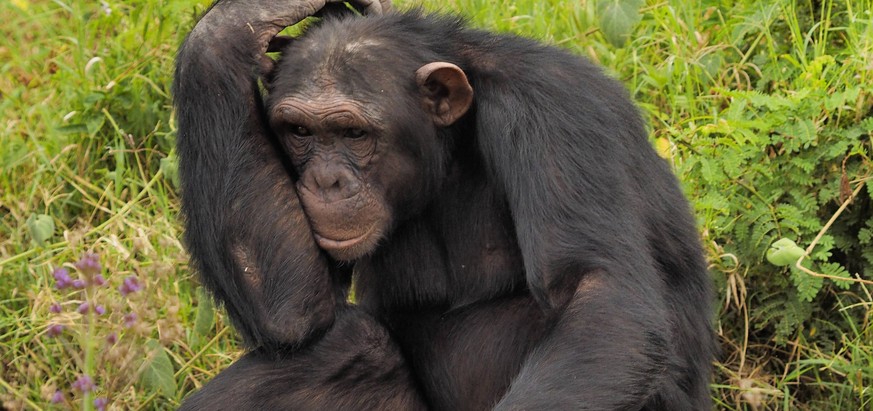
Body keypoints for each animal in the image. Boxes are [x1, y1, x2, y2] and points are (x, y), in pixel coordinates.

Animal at [174, 0, 712, 411]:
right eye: (300, 131)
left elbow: (597, 290)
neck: (449, 145)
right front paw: (241, 21)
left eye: (353, 133)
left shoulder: (555, 109)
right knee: (345, 346)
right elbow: (293, 313)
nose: (326, 181)